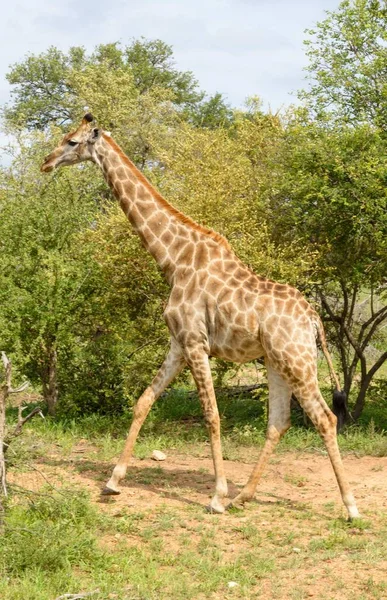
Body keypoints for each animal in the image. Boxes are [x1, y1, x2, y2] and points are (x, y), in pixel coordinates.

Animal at [41, 115, 362, 516]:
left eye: (71, 142)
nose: (46, 163)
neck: (173, 259)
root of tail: (314, 320)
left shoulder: (196, 343)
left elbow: (211, 415)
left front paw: (216, 496)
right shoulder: (178, 344)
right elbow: (143, 401)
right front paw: (113, 482)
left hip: (298, 361)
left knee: (325, 418)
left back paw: (349, 506)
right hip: (277, 362)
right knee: (279, 422)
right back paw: (244, 496)